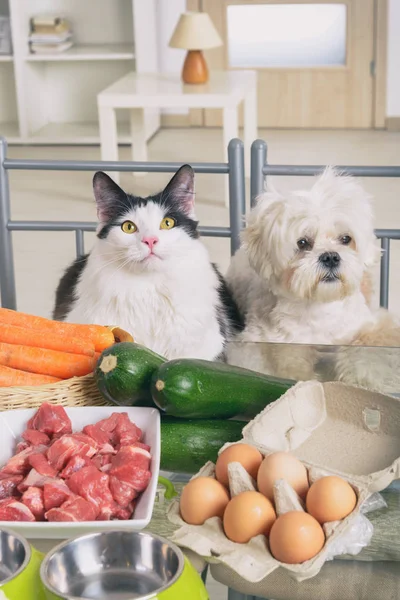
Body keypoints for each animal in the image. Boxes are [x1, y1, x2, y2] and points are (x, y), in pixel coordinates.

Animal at [227, 166, 400, 386]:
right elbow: (286, 362)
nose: (330, 257)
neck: (319, 308)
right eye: (302, 243)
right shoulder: (266, 341)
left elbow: (366, 351)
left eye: (346, 239)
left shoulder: (368, 326)